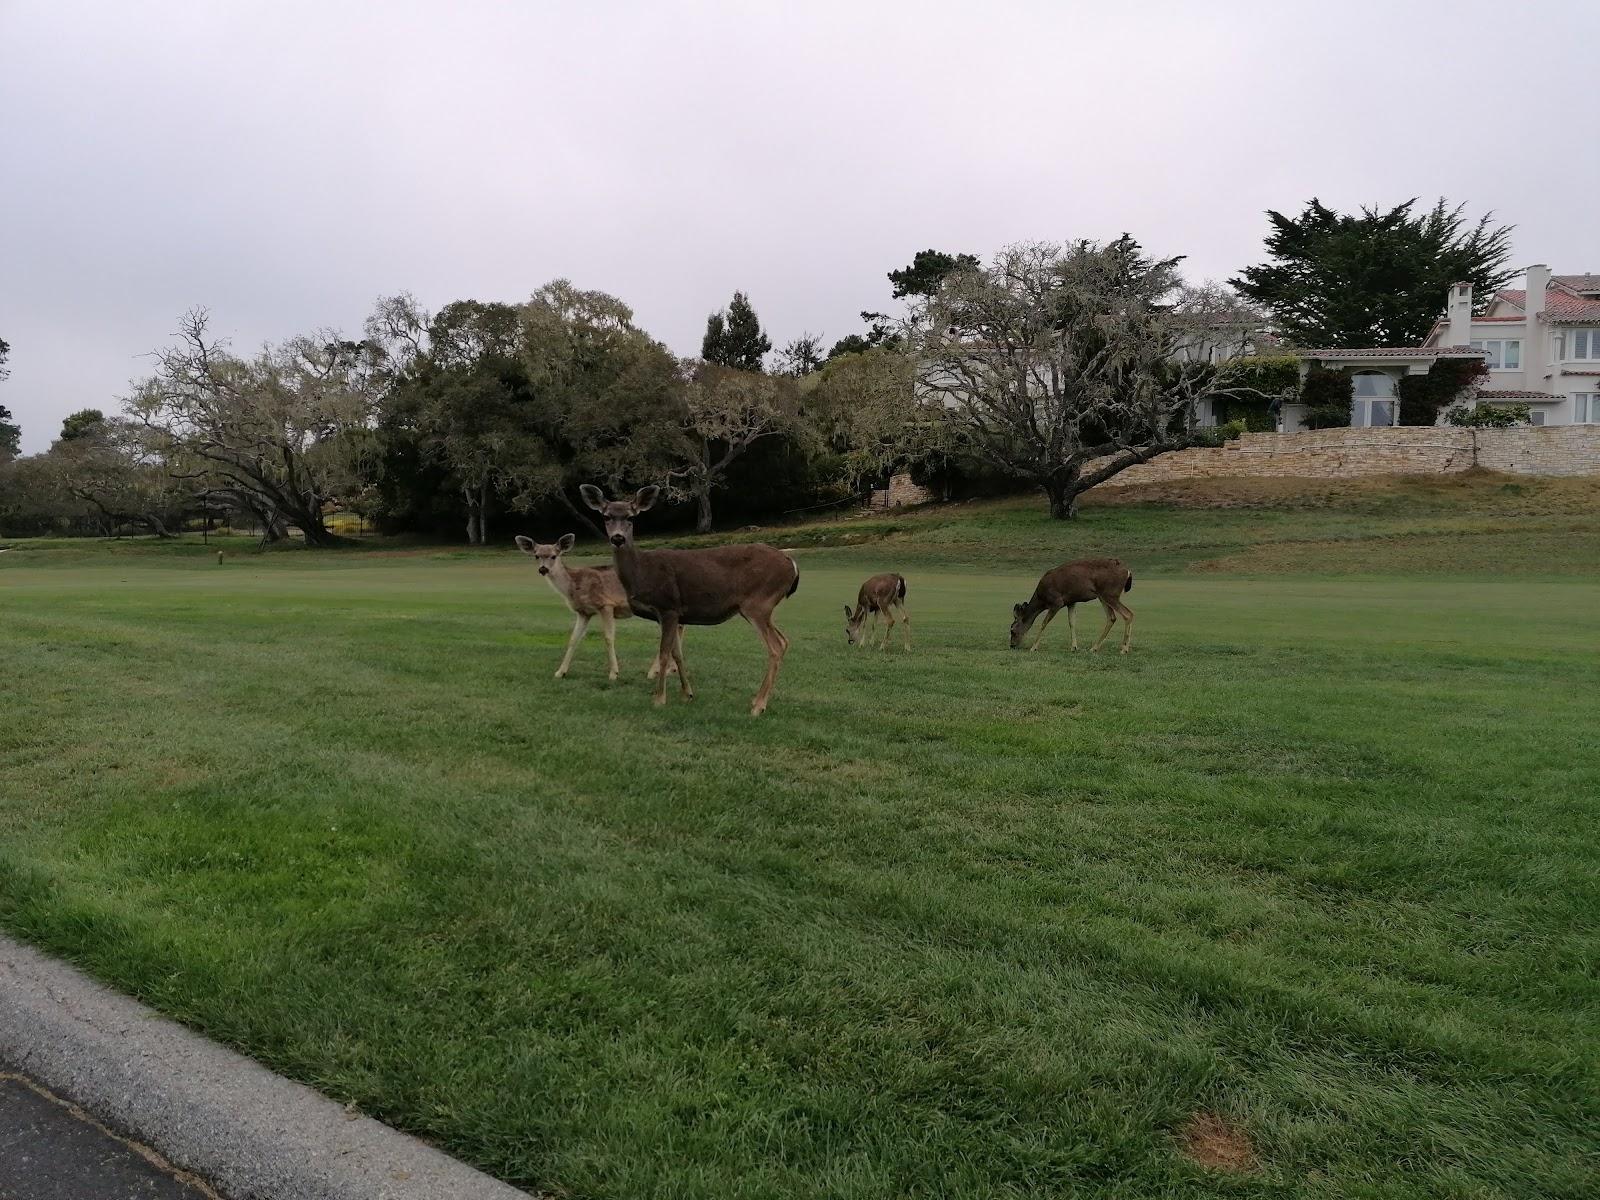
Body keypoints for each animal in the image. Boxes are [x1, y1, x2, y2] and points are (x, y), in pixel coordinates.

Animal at [515, 537, 678, 684]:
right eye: (536, 555)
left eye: (554, 555)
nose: (543, 569)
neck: (575, 586)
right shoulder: (583, 612)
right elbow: (573, 638)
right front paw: (560, 672)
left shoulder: (605, 604)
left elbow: (608, 637)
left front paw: (614, 673)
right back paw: (668, 669)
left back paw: (656, 671)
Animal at [582, 486, 800, 720]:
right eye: (606, 516)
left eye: (631, 517)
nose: (618, 538)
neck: (641, 572)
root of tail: (792, 564)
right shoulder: (674, 615)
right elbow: (677, 653)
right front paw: (687, 694)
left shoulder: (668, 606)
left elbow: (664, 654)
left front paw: (659, 699)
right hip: (764, 607)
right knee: (785, 640)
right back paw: (757, 701)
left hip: (758, 602)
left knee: (776, 646)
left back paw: (758, 705)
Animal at [1004, 563, 1132, 659]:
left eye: (1012, 630)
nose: (1012, 645)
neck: (1042, 599)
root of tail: (1128, 571)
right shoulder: (1071, 601)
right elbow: (1072, 622)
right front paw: (1074, 647)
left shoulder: (1057, 602)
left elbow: (1043, 623)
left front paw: (1033, 647)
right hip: (1102, 595)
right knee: (1112, 617)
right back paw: (1094, 648)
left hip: (1110, 593)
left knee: (1128, 614)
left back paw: (1124, 649)